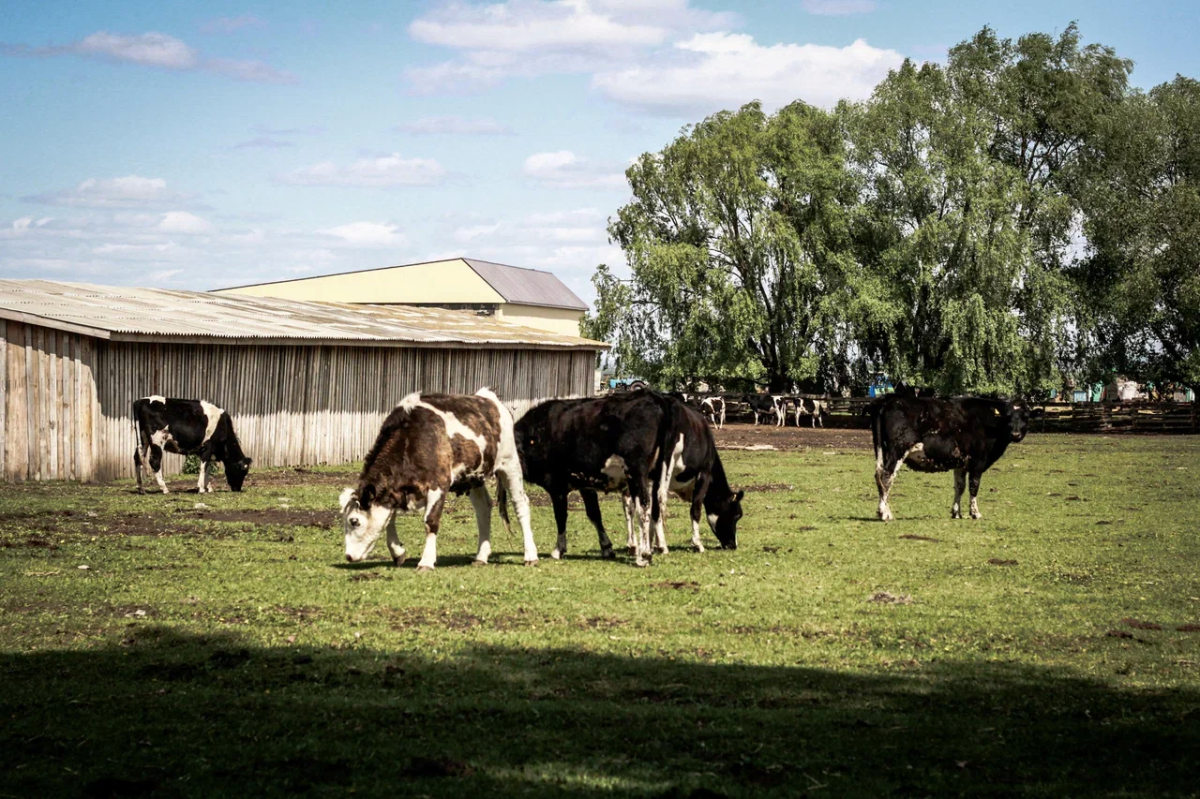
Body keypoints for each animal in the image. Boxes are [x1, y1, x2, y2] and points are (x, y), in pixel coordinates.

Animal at [343, 386, 540, 568]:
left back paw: (530, 556)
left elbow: (430, 521)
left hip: (510, 463)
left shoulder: (438, 484)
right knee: (483, 507)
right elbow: (389, 519)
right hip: (473, 477)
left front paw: (426, 562)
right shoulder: (395, 492)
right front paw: (398, 552)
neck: (411, 439)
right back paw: (481, 556)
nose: (348, 556)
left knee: (521, 504)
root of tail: (488, 397)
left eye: (354, 521)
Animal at [868, 393, 1036, 520]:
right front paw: (975, 513)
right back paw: (884, 513)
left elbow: (959, 487)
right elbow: (974, 486)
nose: (1015, 434)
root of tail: (889, 397)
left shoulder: (961, 462)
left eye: (1026, 416)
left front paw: (956, 512)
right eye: (1008, 416)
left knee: (879, 476)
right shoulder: (978, 461)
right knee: (886, 477)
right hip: (897, 450)